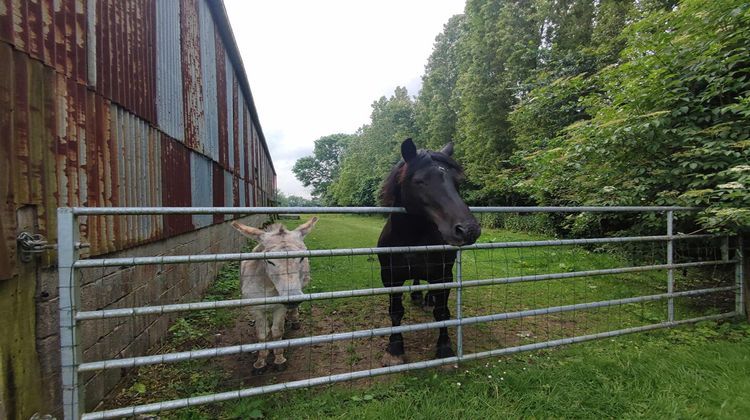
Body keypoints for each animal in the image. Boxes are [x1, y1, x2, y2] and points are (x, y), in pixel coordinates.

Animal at [376, 138, 482, 364]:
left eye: (457, 182)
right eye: (420, 181)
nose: (469, 229)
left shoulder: (443, 275)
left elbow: (442, 313)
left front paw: (444, 348)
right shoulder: (390, 278)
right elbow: (395, 312)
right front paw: (395, 349)